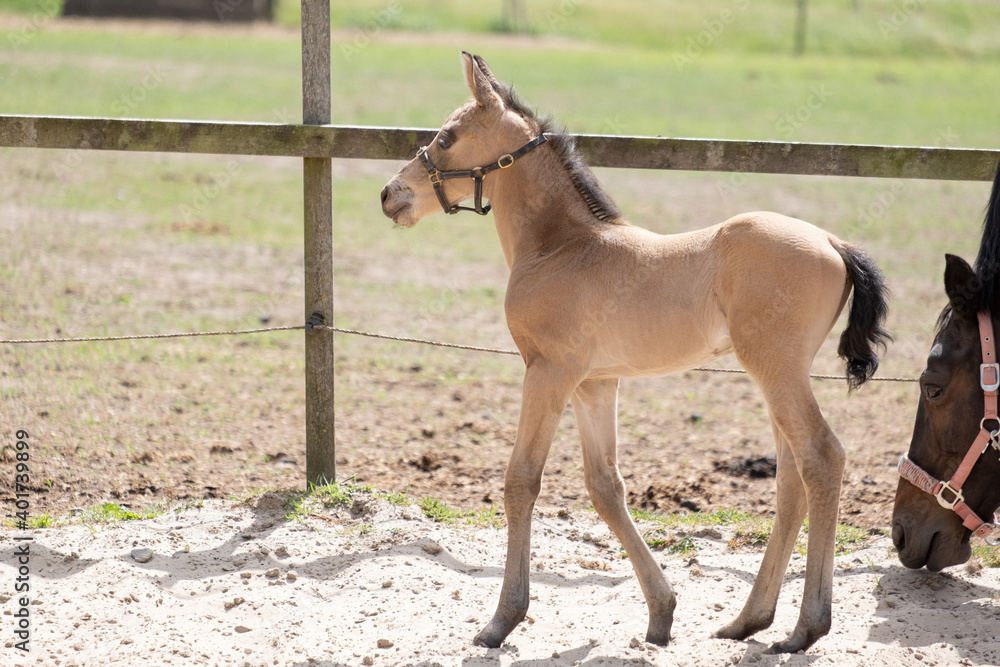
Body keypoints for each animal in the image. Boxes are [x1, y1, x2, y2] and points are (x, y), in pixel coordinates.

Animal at [380, 52, 891, 654]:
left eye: (446, 137)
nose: (390, 194)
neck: (562, 247)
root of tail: (835, 243)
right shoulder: (594, 383)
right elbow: (606, 487)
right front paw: (661, 614)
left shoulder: (548, 372)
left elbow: (521, 480)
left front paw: (501, 620)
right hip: (778, 375)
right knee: (792, 477)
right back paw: (747, 621)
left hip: (777, 370)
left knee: (821, 457)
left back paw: (805, 627)